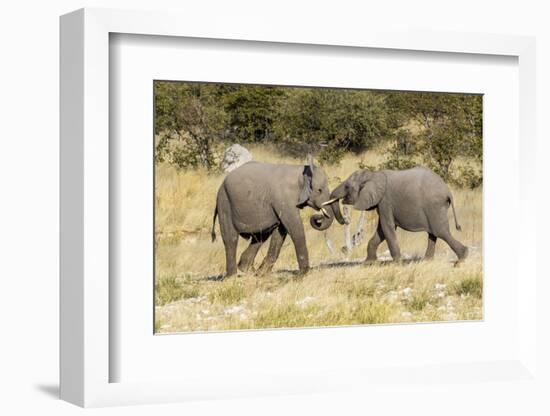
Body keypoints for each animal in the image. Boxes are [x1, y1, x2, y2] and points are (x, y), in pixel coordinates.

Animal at [212, 158, 348, 278]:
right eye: (319, 190)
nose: (318, 217)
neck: (301, 171)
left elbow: (280, 231)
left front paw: (262, 274)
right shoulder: (284, 197)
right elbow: (294, 227)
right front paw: (303, 274)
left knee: (259, 237)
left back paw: (250, 271)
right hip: (224, 202)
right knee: (231, 239)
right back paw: (232, 276)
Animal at [310, 166, 470, 260]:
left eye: (347, 187)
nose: (345, 220)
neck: (373, 175)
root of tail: (448, 191)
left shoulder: (385, 201)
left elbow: (388, 228)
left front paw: (396, 262)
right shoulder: (383, 203)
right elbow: (381, 230)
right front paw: (369, 262)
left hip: (434, 207)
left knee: (440, 231)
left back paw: (462, 258)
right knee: (433, 233)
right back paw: (426, 261)